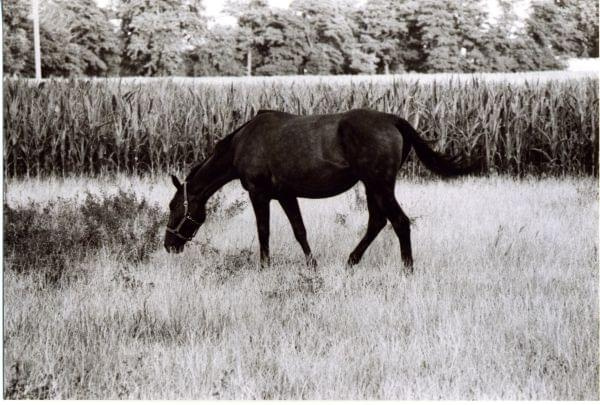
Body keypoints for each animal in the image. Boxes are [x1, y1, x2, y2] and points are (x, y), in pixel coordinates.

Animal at [164, 109, 478, 270]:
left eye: (173, 207)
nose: (169, 245)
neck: (243, 142)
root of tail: (393, 120)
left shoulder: (259, 194)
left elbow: (263, 231)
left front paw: (264, 266)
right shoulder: (286, 195)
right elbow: (299, 230)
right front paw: (312, 264)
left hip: (379, 185)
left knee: (400, 222)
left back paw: (406, 269)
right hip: (372, 186)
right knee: (378, 222)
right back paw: (351, 261)